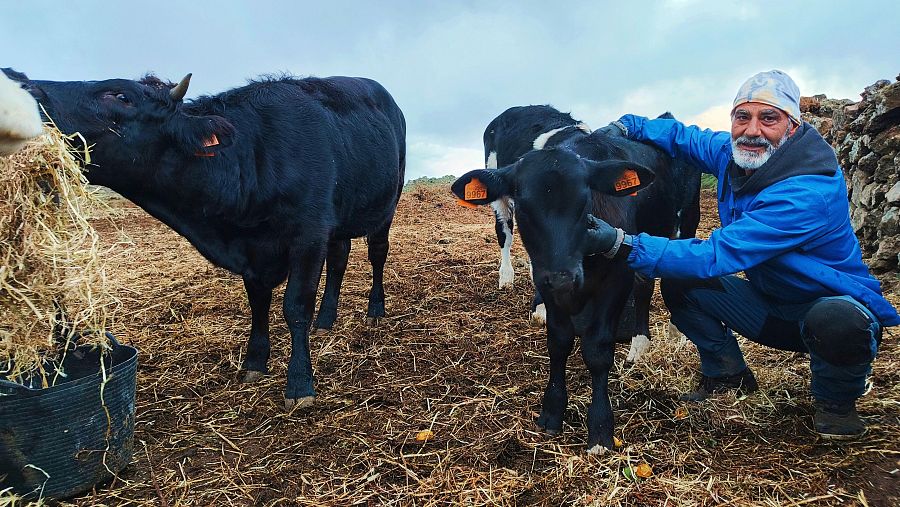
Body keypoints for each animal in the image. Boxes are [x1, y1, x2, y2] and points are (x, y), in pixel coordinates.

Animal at [4, 69, 406, 410]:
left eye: (120, 95)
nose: (20, 79)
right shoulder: (255, 253)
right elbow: (258, 304)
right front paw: (255, 361)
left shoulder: (308, 235)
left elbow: (295, 306)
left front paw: (299, 384)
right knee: (339, 259)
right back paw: (326, 319)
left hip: (386, 206)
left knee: (376, 254)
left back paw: (374, 310)